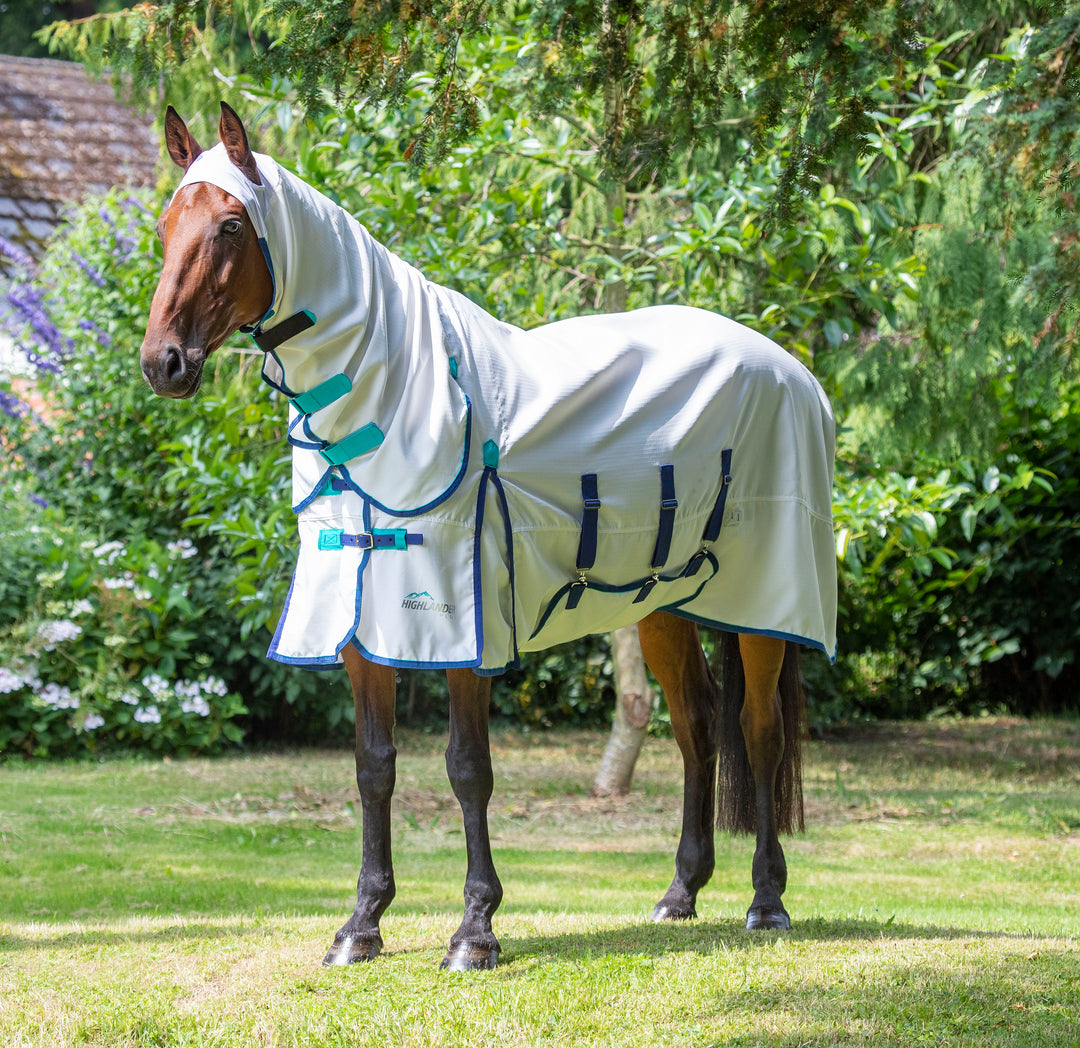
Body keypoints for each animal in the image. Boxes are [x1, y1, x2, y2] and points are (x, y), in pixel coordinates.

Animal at [139, 102, 837, 971]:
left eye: (232, 224)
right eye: (166, 224)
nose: (163, 362)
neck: (400, 395)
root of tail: (791, 369)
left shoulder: (458, 623)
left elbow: (467, 769)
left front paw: (474, 931)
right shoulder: (361, 625)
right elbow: (373, 769)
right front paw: (361, 924)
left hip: (764, 606)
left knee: (760, 732)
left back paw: (767, 902)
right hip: (662, 606)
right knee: (698, 727)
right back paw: (681, 893)